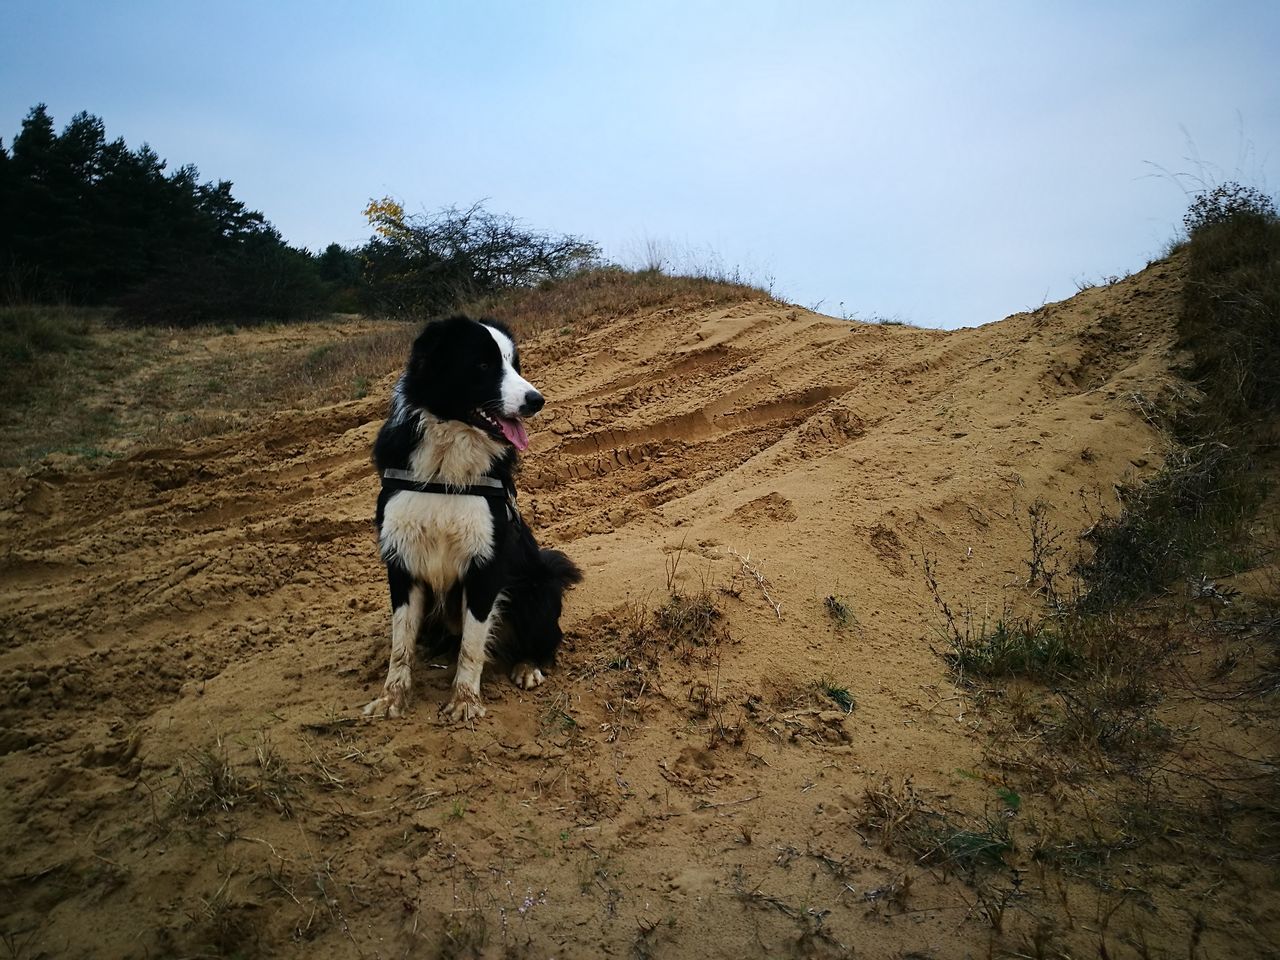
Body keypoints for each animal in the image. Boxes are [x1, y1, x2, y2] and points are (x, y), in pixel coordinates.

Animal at [360, 313, 581, 721]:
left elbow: (473, 644)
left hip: (537, 589)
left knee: (547, 639)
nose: (537, 401)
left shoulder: (485, 563)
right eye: (482, 365)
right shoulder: (401, 558)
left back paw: (528, 666)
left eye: (514, 364)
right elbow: (400, 643)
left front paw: (464, 700)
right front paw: (392, 698)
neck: (445, 467)